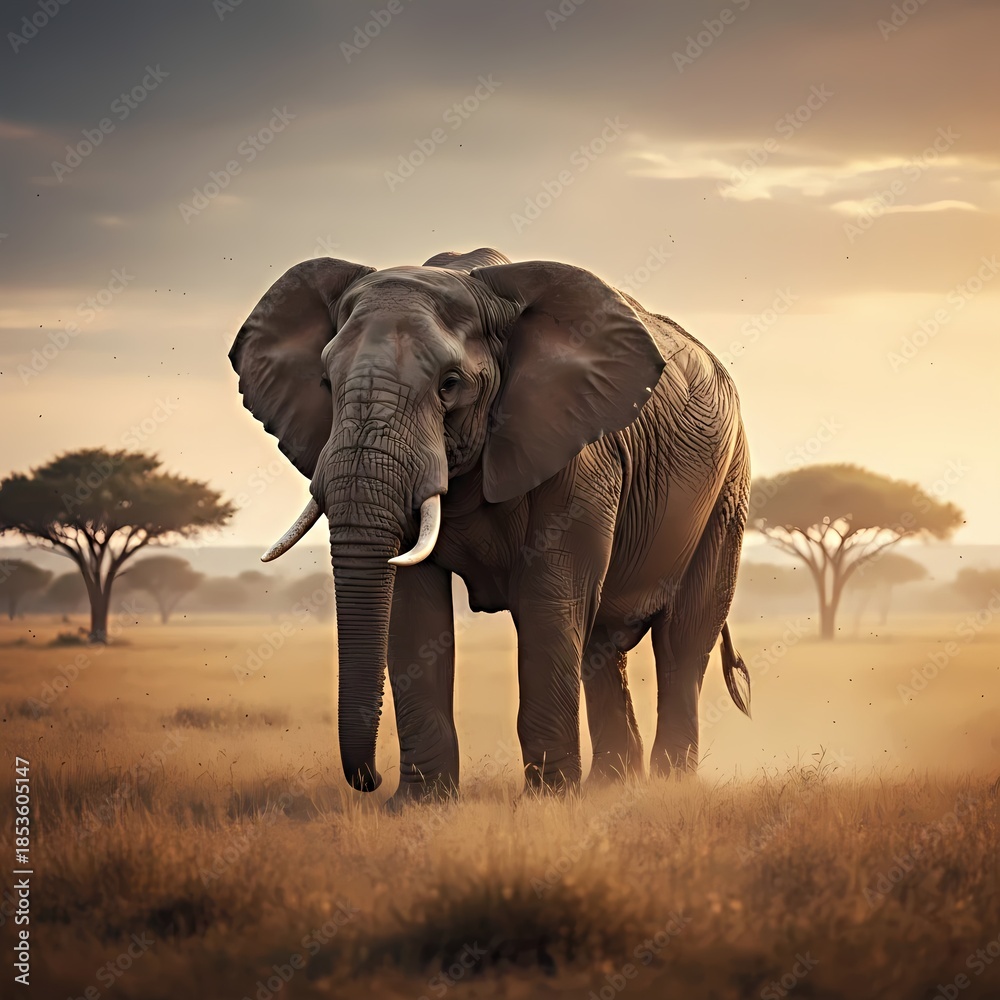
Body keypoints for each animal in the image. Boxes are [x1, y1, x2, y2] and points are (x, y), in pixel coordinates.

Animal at [229, 247, 751, 801]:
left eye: (450, 385)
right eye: (327, 383)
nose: (368, 781)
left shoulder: (580, 453)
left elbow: (550, 599)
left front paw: (548, 803)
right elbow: (413, 607)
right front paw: (420, 805)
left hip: (727, 489)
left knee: (682, 642)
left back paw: (667, 787)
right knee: (602, 644)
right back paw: (612, 787)